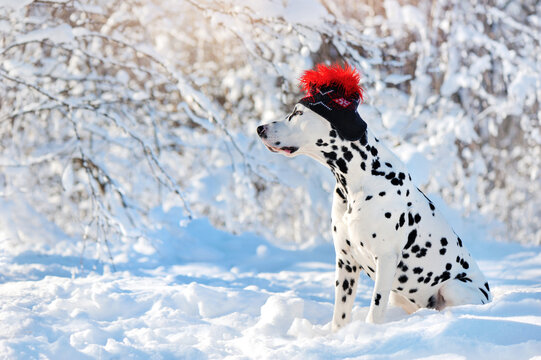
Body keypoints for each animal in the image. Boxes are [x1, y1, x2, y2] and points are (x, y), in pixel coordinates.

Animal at [255, 64, 492, 332]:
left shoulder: (385, 260)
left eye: (296, 113)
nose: (259, 128)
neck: (356, 183)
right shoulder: (345, 261)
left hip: (453, 287)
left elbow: (375, 310)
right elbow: (340, 314)